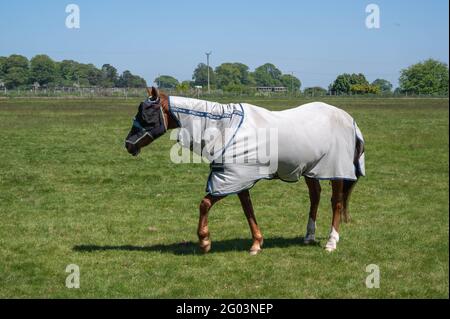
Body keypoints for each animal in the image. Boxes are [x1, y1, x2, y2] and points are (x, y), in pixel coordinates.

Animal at [125, 87, 364, 255]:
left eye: (147, 113)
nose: (128, 145)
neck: (225, 128)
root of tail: (349, 118)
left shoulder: (231, 178)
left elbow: (204, 204)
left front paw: (205, 241)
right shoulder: (237, 179)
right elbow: (248, 209)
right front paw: (257, 243)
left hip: (336, 170)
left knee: (336, 203)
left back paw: (331, 242)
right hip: (311, 170)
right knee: (315, 197)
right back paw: (309, 236)